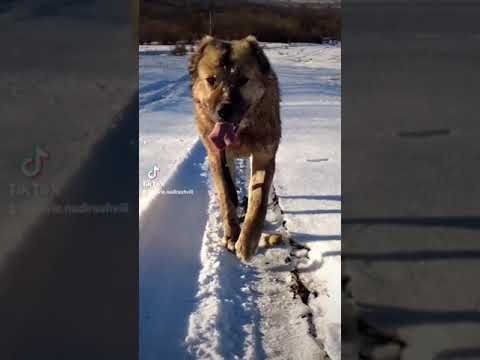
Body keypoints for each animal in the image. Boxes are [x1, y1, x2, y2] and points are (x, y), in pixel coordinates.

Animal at [188, 35, 282, 262]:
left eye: (242, 81)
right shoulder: (218, 156)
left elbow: (258, 200)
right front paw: (232, 234)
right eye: (211, 80)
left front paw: (248, 241)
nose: (223, 111)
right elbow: (226, 195)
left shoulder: (264, 156)